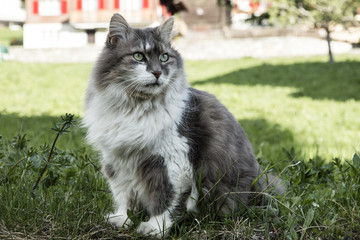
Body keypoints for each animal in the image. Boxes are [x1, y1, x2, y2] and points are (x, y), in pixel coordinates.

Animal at [82, 14, 284, 237]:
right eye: (138, 56)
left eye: (164, 57)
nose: (157, 72)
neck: (135, 108)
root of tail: (262, 183)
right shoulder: (117, 160)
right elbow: (122, 195)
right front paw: (122, 220)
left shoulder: (172, 161)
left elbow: (166, 199)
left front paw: (155, 227)